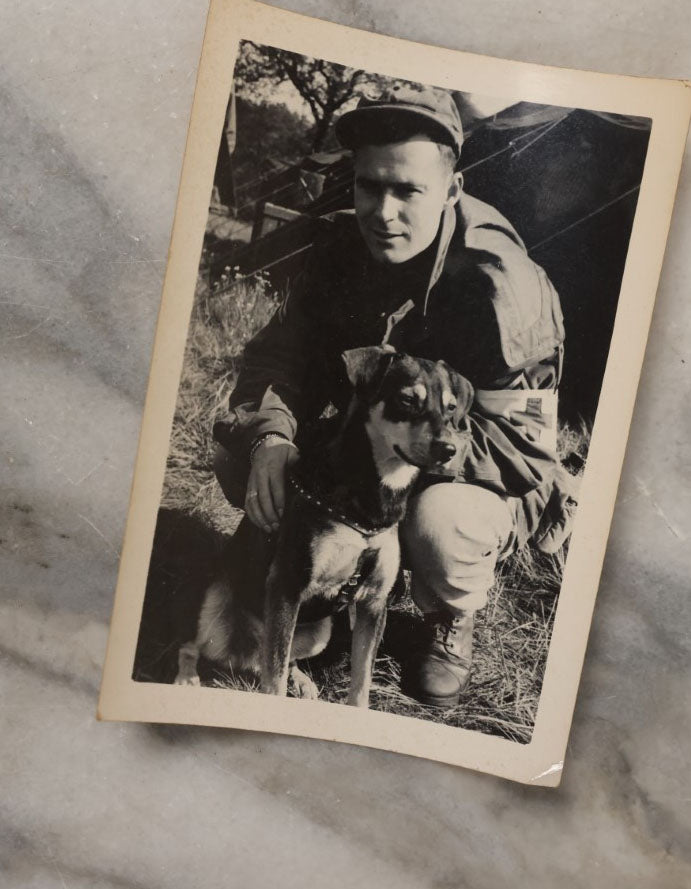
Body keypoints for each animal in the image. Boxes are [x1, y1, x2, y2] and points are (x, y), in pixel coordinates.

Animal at [176, 346, 474, 708]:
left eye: (450, 408)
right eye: (407, 400)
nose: (448, 450)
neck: (370, 500)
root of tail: (246, 649)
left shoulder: (374, 603)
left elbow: (361, 680)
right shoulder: (288, 584)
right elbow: (273, 681)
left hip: (319, 632)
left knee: (280, 658)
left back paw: (302, 682)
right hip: (214, 608)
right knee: (194, 646)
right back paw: (187, 679)